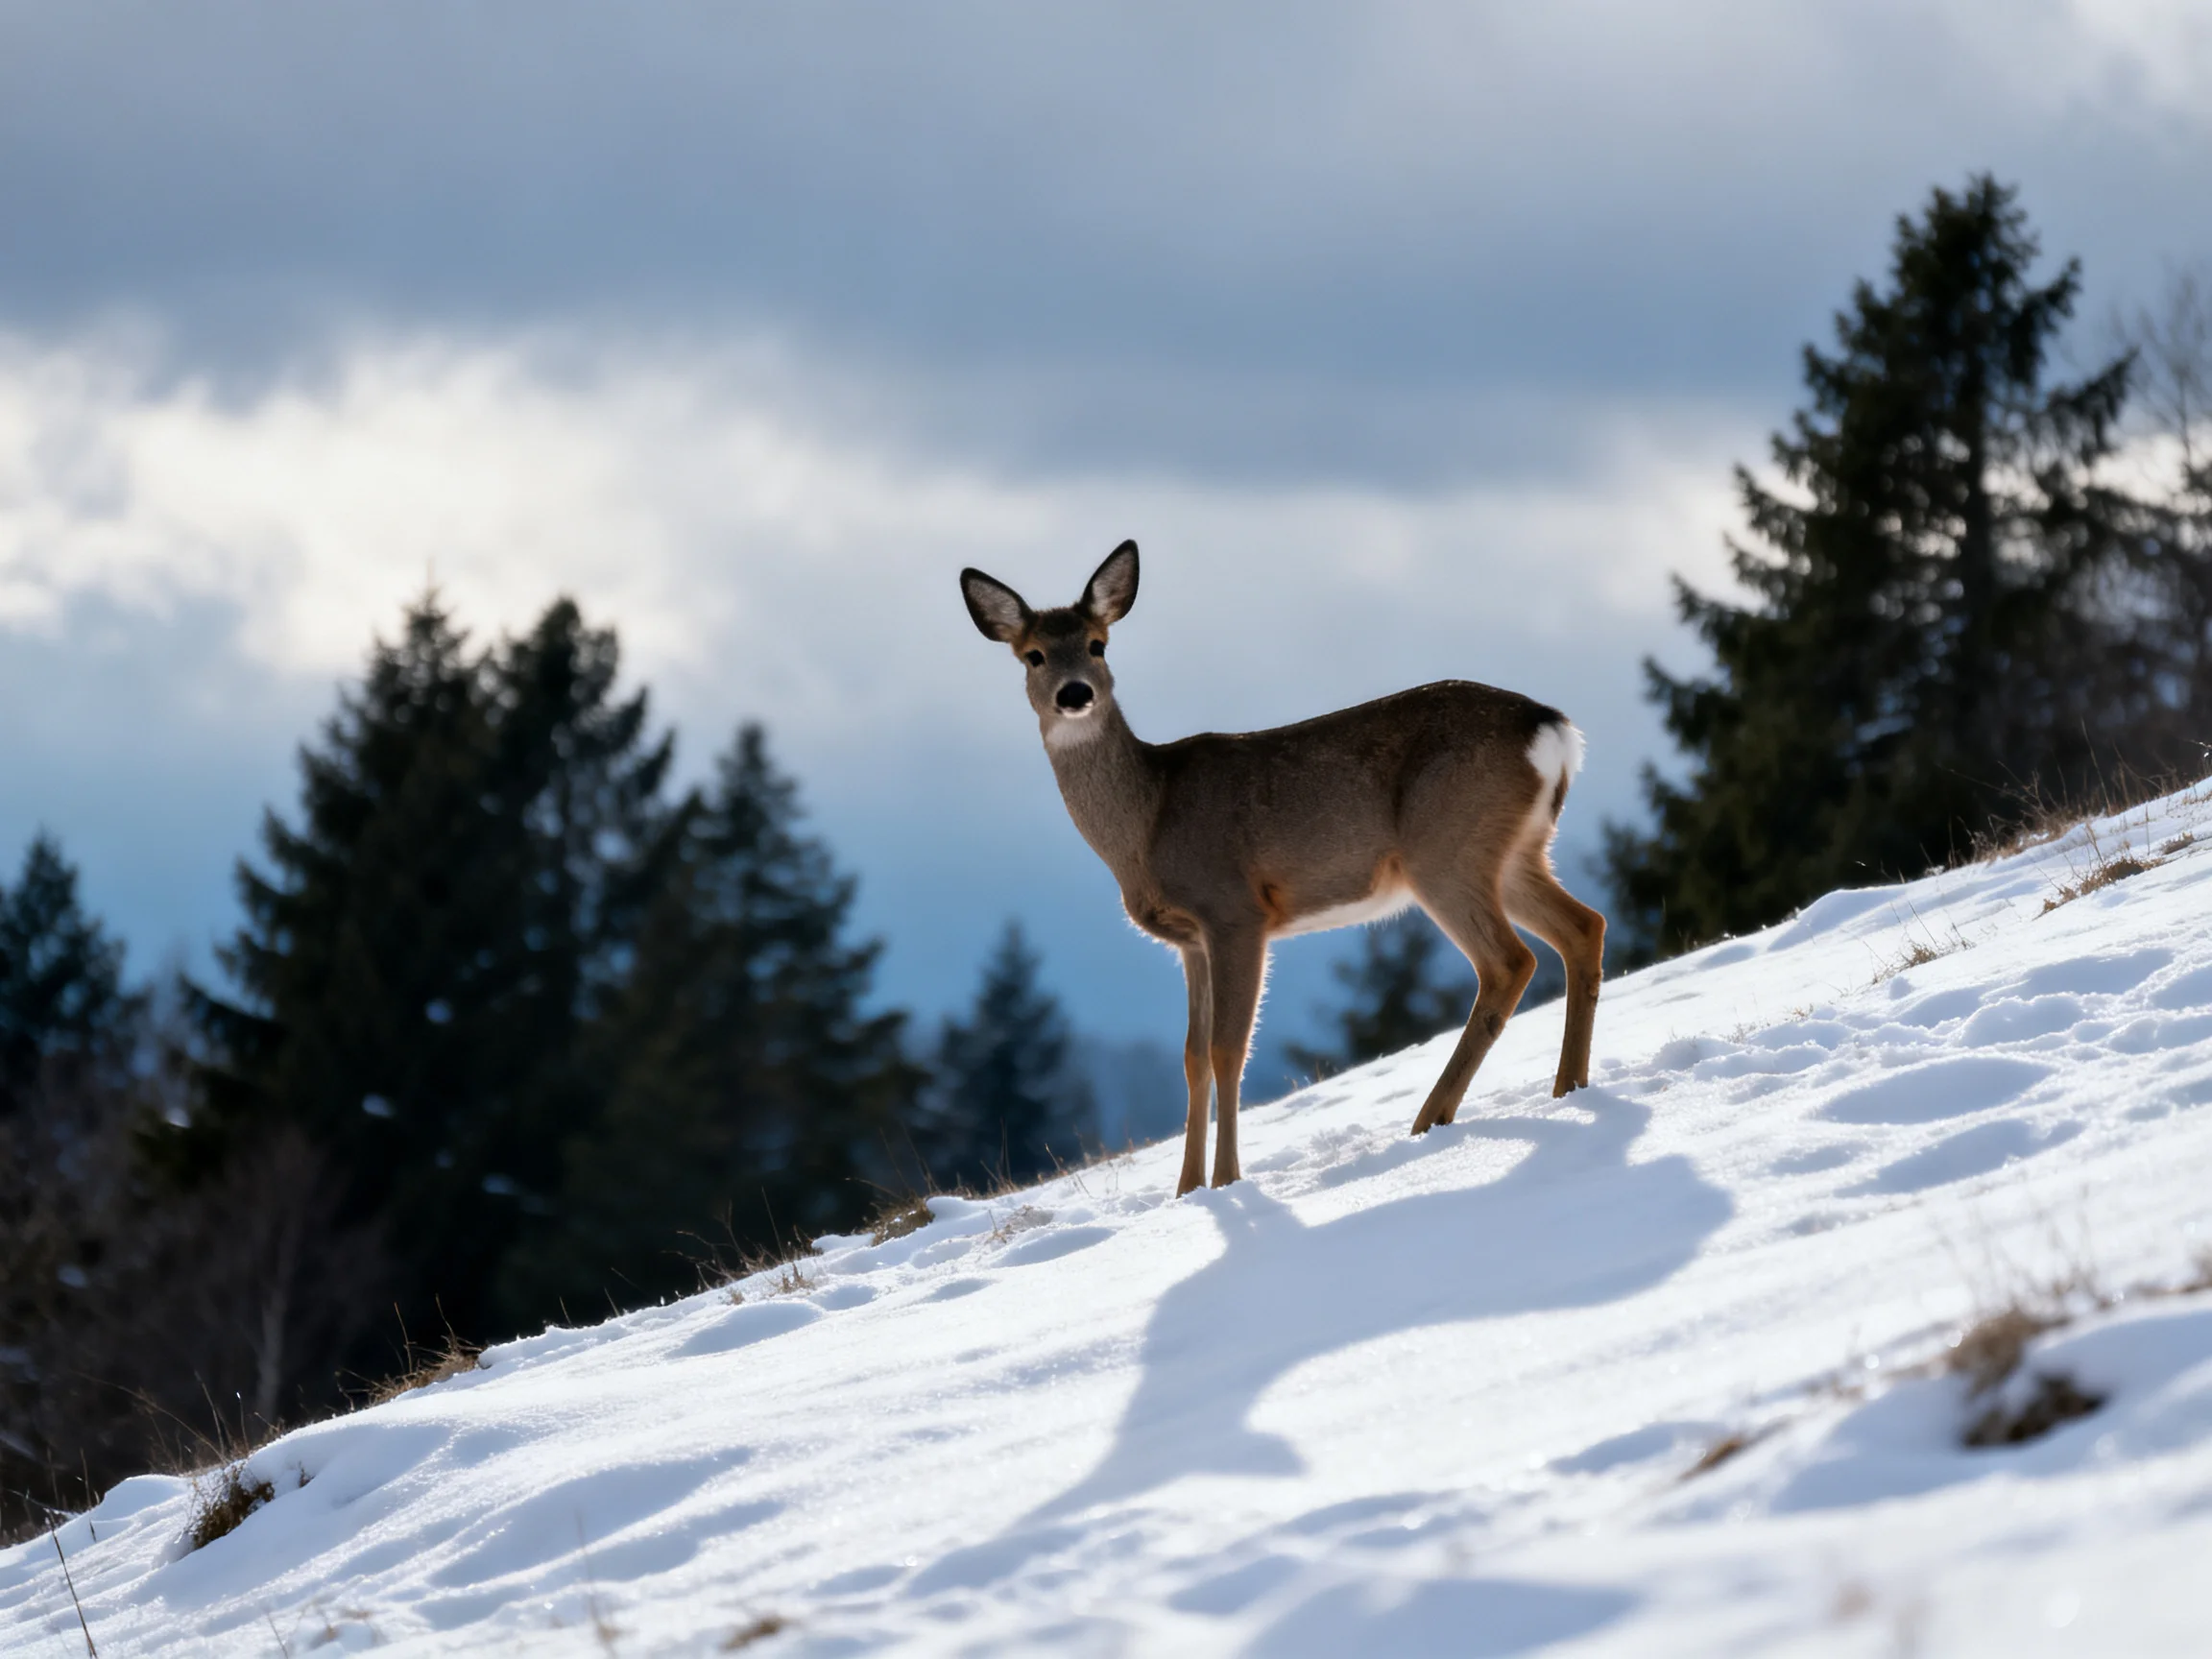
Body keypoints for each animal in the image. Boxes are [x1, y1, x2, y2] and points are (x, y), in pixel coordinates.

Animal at [959, 540, 1604, 1197]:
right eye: (1034, 655)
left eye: (1097, 644)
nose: (1074, 694)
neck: (1148, 824)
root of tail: (1550, 728)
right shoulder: (1189, 942)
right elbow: (1192, 1057)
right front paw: (1186, 1190)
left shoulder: (1234, 911)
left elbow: (1228, 1049)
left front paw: (1226, 1181)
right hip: (1513, 852)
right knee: (1583, 925)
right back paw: (1568, 1086)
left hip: (1445, 851)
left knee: (1509, 961)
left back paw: (1431, 1120)